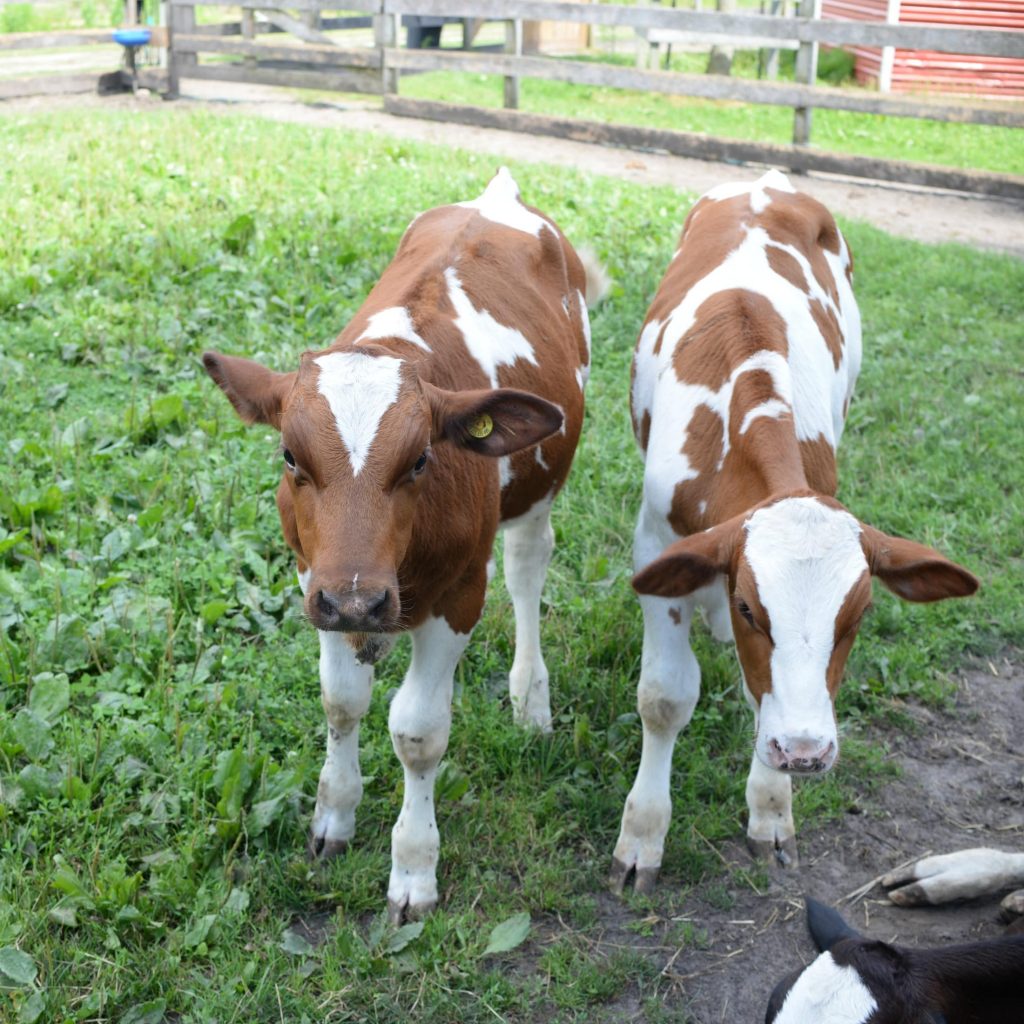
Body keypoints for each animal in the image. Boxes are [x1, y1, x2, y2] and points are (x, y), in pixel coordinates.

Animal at [203, 167, 598, 921]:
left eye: (420, 461)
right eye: (290, 456)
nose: (360, 603)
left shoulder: (459, 594)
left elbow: (417, 731)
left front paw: (414, 867)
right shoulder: (316, 581)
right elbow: (341, 701)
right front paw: (334, 814)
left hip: (540, 487)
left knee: (527, 568)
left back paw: (530, 699)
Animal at [606, 167, 974, 888]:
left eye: (859, 615)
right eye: (752, 607)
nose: (804, 751)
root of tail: (767, 181)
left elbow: (763, 694)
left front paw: (772, 808)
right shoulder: (657, 542)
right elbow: (664, 697)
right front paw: (643, 833)